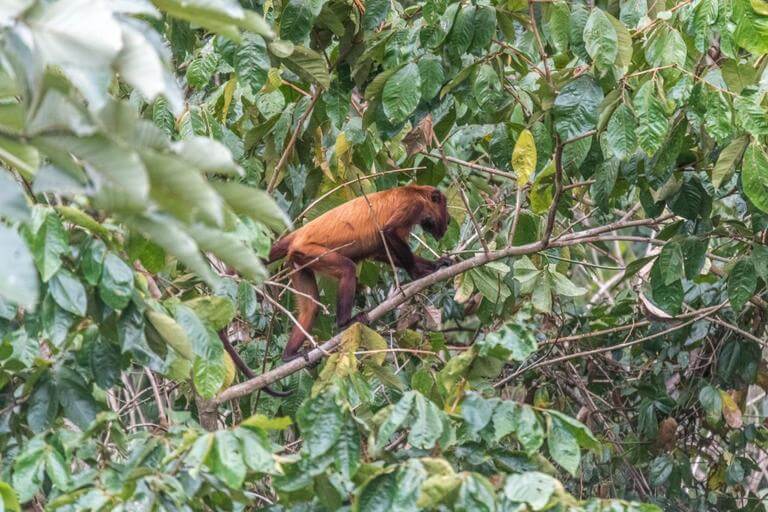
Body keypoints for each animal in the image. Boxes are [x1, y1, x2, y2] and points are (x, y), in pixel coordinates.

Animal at [268, 184, 452, 360]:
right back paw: (344, 323)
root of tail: (298, 234)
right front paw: (417, 273)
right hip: (309, 251)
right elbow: (389, 231)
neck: (416, 192)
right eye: (444, 207)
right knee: (348, 269)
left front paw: (436, 264)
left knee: (311, 306)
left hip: (297, 260)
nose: (449, 220)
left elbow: (381, 252)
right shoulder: (413, 205)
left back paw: (289, 355)